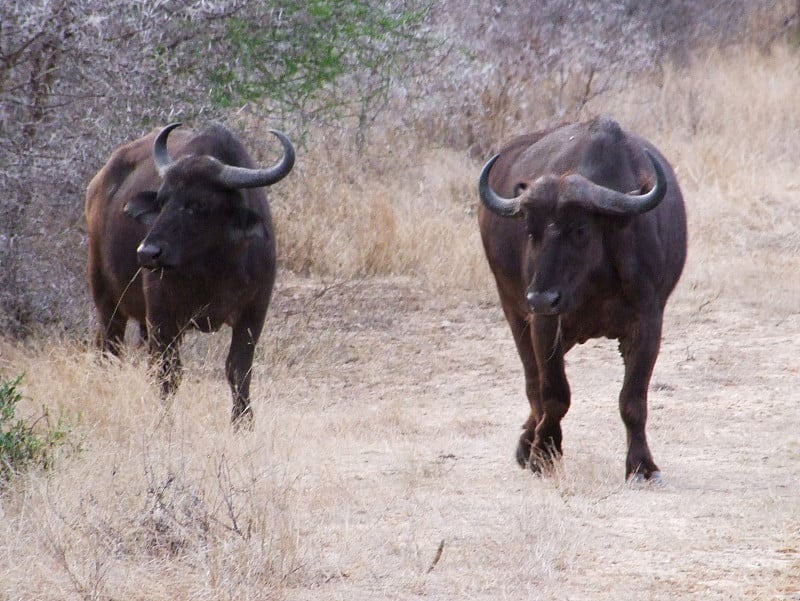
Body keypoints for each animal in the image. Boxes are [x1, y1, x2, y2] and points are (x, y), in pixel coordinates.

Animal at [85, 120, 296, 422]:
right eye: (162, 200)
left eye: (199, 204)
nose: (147, 252)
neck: (214, 270)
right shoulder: (162, 316)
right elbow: (168, 373)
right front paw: (165, 422)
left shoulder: (254, 312)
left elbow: (239, 370)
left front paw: (243, 423)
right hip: (106, 298)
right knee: (109, 350)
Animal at [478, 116, 684, 482]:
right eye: (531, 231)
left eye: (580, 230)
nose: (542, 297)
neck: (595, 282)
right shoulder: (545, 324)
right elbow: (553, 394)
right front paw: (543, 453)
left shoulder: (648, 322)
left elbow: (633, 400)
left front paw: (642, 465)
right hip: (514, 312)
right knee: (533, 383)